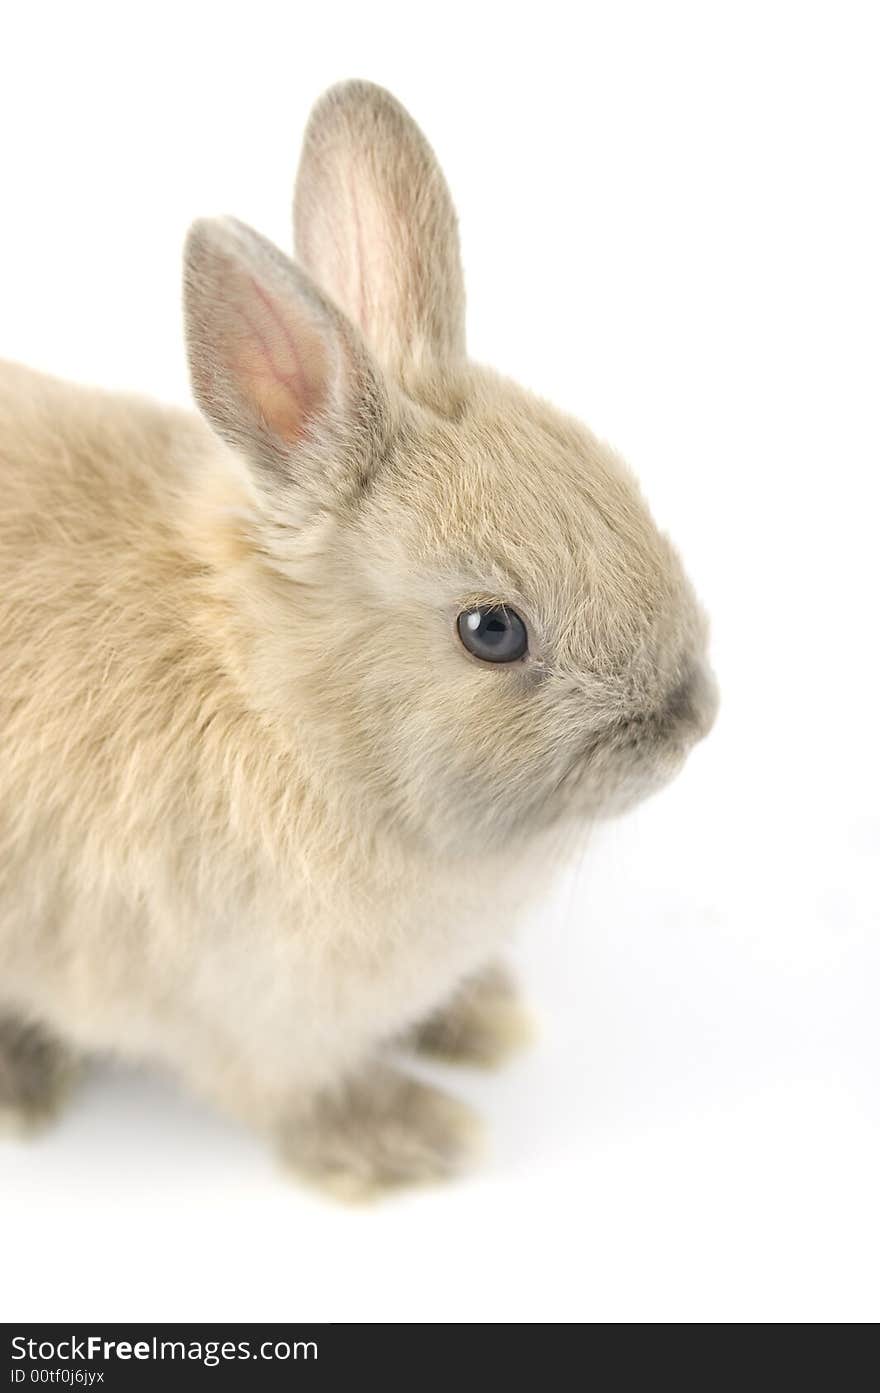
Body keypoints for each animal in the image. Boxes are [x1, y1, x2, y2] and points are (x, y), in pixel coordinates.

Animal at [0, 79, 712, 1197]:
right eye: (491, 631)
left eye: (621, 483)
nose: (690, 719)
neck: (280, 709)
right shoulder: (243, 1014)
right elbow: (296, 1096)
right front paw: (410, 1137)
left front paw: (481, 1021)